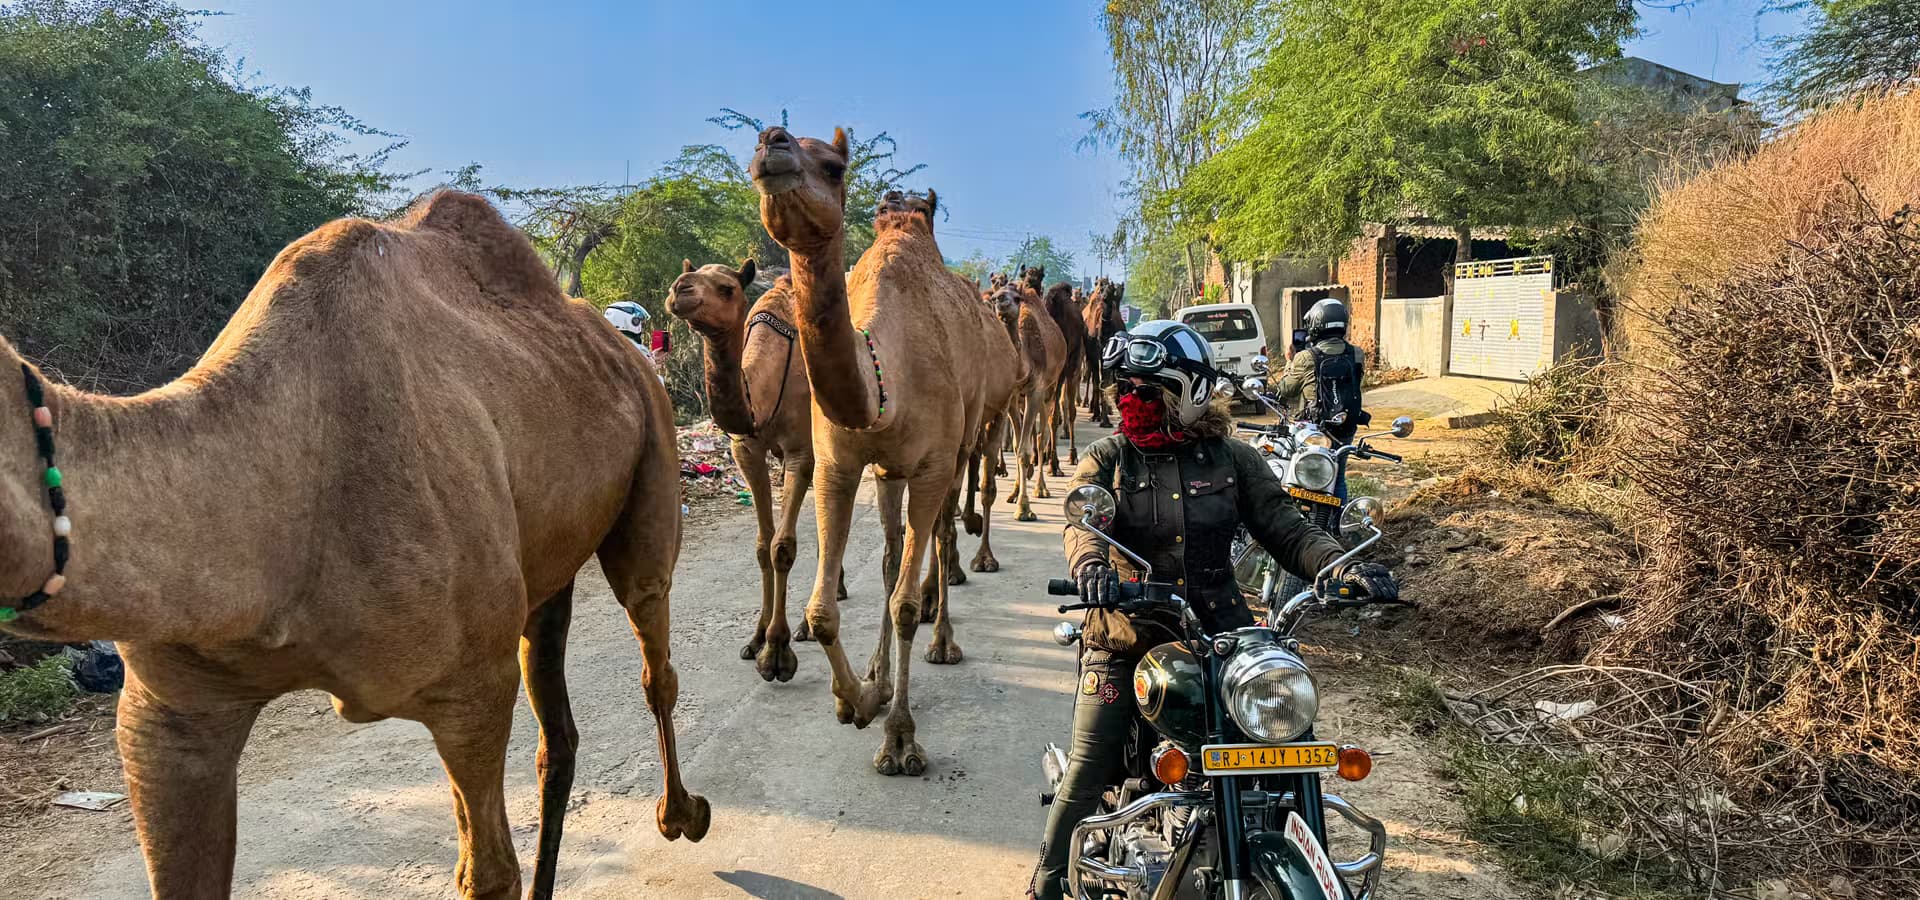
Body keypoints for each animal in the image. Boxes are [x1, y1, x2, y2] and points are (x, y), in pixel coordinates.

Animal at [0, 192, 707, 900]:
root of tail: (622, 348)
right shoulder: (169, 712)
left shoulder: (471, 687)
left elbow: (486, 874)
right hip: (543, 563)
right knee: (556, 728)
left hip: (652, 445)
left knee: (652, 643)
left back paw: (682, 814)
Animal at [668, 261, 853, 684]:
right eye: (687, 276)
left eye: (726, 288)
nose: (679, 289)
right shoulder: (746, 450)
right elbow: (761, 546)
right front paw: (755, 639)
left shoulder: (801, 452)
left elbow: (782, 547)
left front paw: (777, 653)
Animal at [750, 127, 1018, 774]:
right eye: (759, 149)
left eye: (834, 166)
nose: (772, 143)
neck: (882, 383)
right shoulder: (837, 467)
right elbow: (822, 611)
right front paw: (859, 698)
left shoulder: (931, 466)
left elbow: (903, 604)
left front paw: (898, 737)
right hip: (890, 470)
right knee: (895, 554)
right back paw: (879, 668)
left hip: (963, 440)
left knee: (941, 533)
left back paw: (943, 638)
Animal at [1082, 277, 1127, 428]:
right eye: (1101, 289)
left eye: (1112, 289)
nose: (1105, 297)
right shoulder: (1094, 353)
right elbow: (1098, 382)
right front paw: (1099, 417)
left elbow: (1106, 382)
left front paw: (1106, 419)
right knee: (1094, 378)